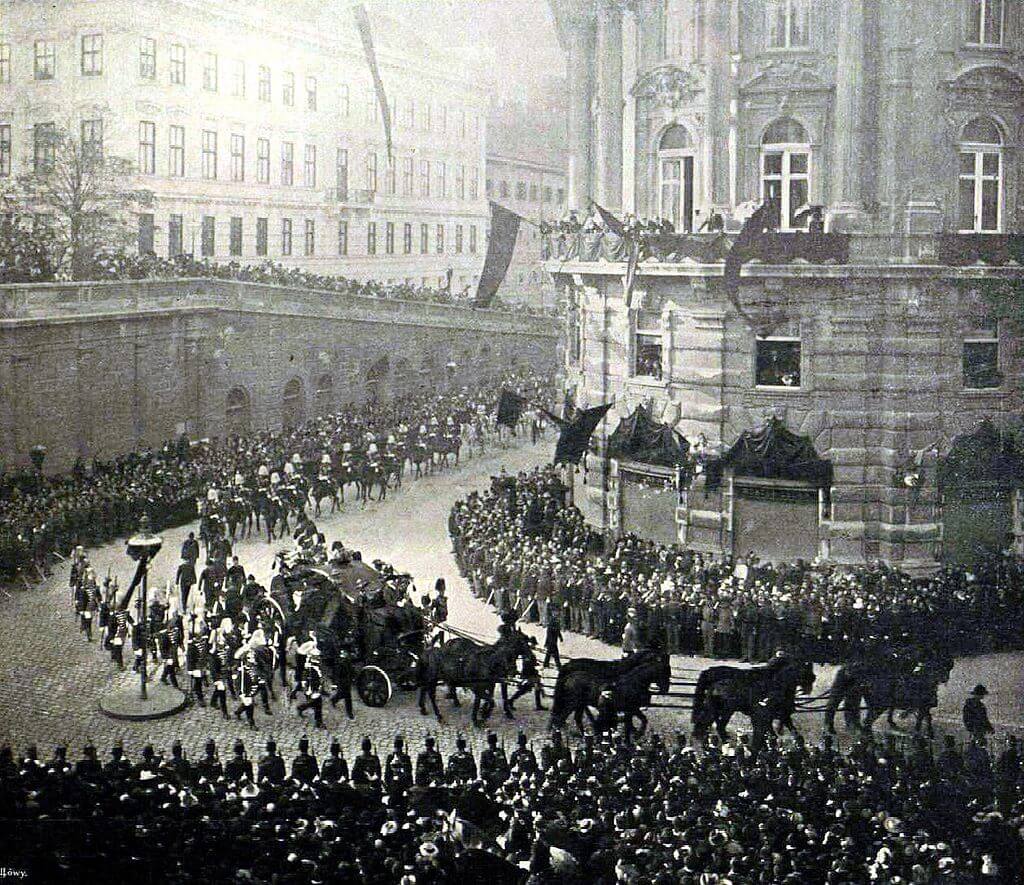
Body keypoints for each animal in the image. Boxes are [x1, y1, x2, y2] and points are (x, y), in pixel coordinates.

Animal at [819, 647, 954, 737]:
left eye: (947, 668)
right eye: (939, 667)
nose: (945, 679)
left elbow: (925, 717)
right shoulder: (922, 705)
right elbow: (922, 718)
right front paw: (922, 732)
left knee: (847, 711)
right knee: (863, 718)